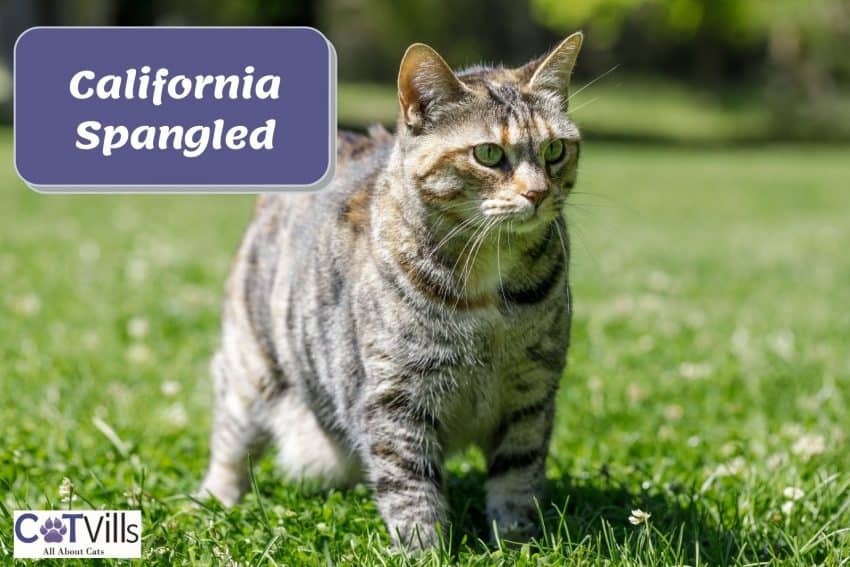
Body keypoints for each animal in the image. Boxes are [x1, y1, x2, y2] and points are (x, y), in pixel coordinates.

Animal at [199, 32, 584, 552]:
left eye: (555, 150)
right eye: (488, 154)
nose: (538, 193)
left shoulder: (532, 394)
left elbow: (517, 478)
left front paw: (519, 543)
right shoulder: (395, 396)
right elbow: (409, 484)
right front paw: (425, 551)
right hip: (251, 366)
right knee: (230, 444)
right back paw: (214, 500)